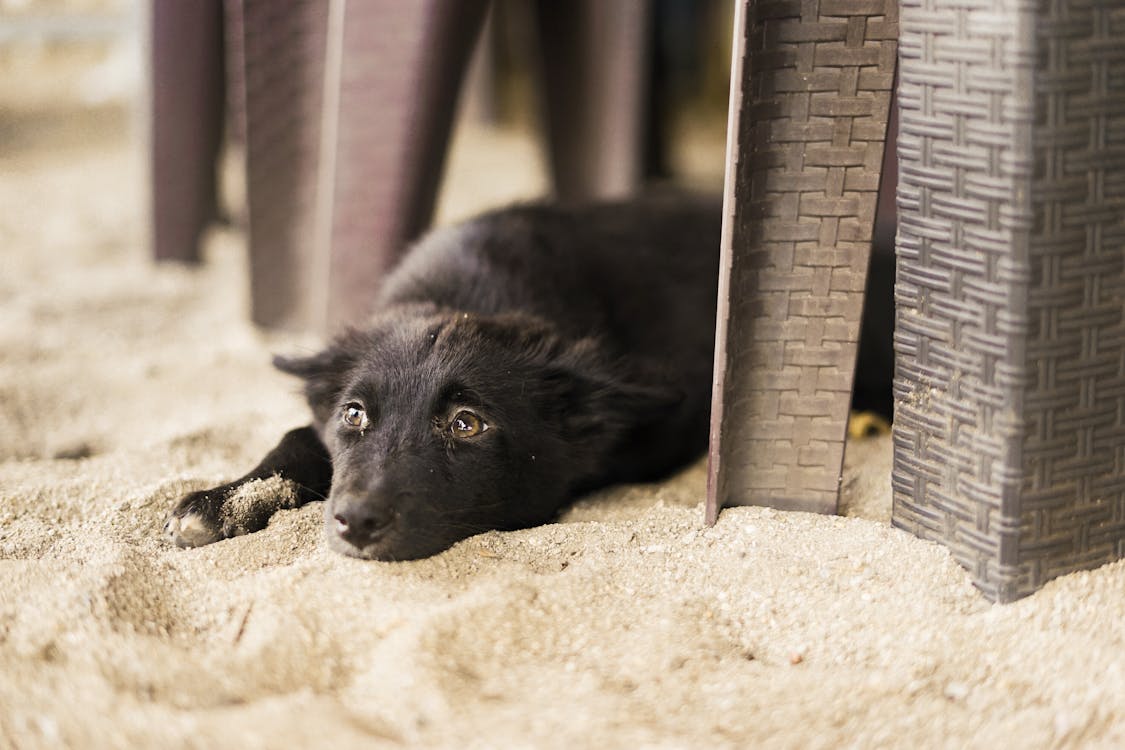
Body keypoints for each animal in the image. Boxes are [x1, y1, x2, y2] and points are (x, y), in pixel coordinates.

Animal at [165, 196, 724, 559]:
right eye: (354, 414)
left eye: (465, 424)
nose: (357, 522)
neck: (470, 298)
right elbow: (297, 437)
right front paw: (220, 502)